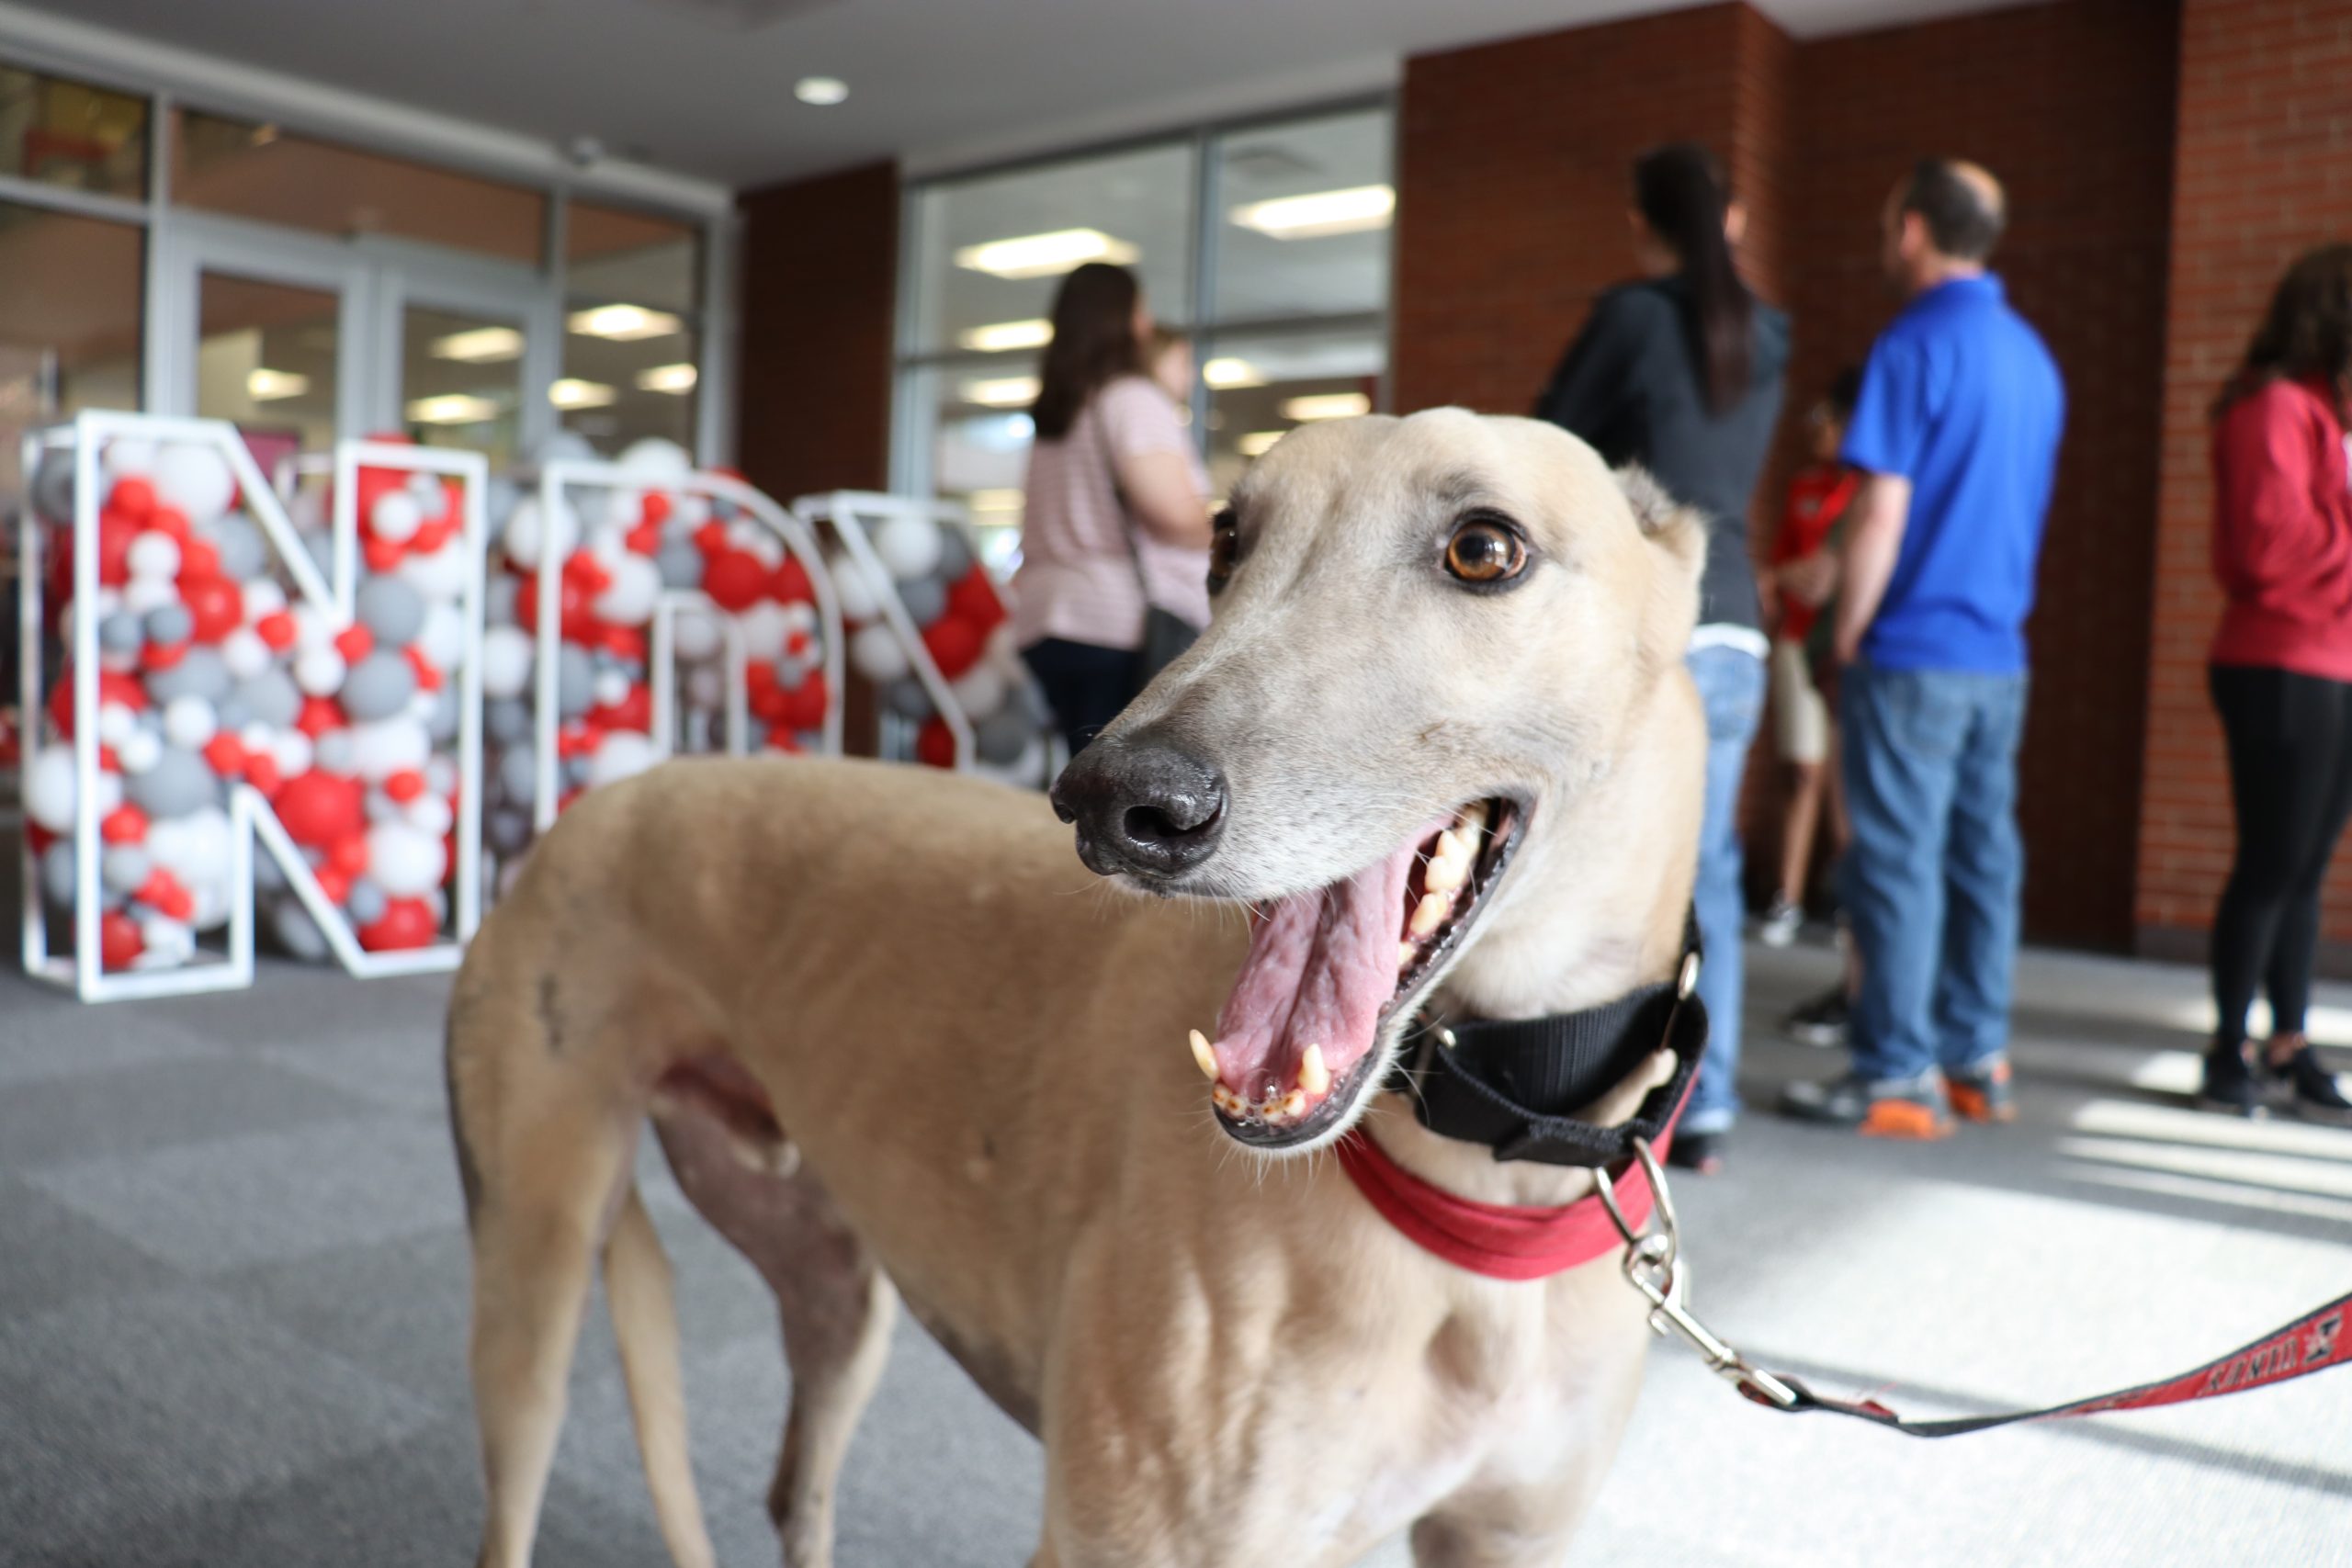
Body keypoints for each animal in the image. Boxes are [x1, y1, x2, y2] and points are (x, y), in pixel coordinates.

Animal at [442, 411, 1702, 1561]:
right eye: (1225, 539)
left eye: (1484, 549)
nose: (1114, 800)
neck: (1482, 1192)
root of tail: (588, 812)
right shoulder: (1129, 1539)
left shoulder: (1506, 1537)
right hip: (533, 1274)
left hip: (831, 1278)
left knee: (794, 1484)